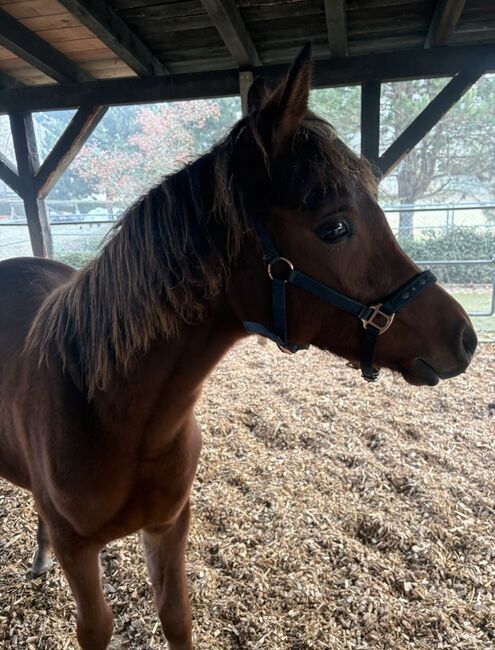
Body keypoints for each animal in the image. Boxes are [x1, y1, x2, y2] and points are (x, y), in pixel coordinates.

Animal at [0, 45, 477, 650]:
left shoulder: (169, 526)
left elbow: (176, 616)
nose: (465, 337)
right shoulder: (79, 551)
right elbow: (96, 628)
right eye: (336, 227)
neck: (113, 416)